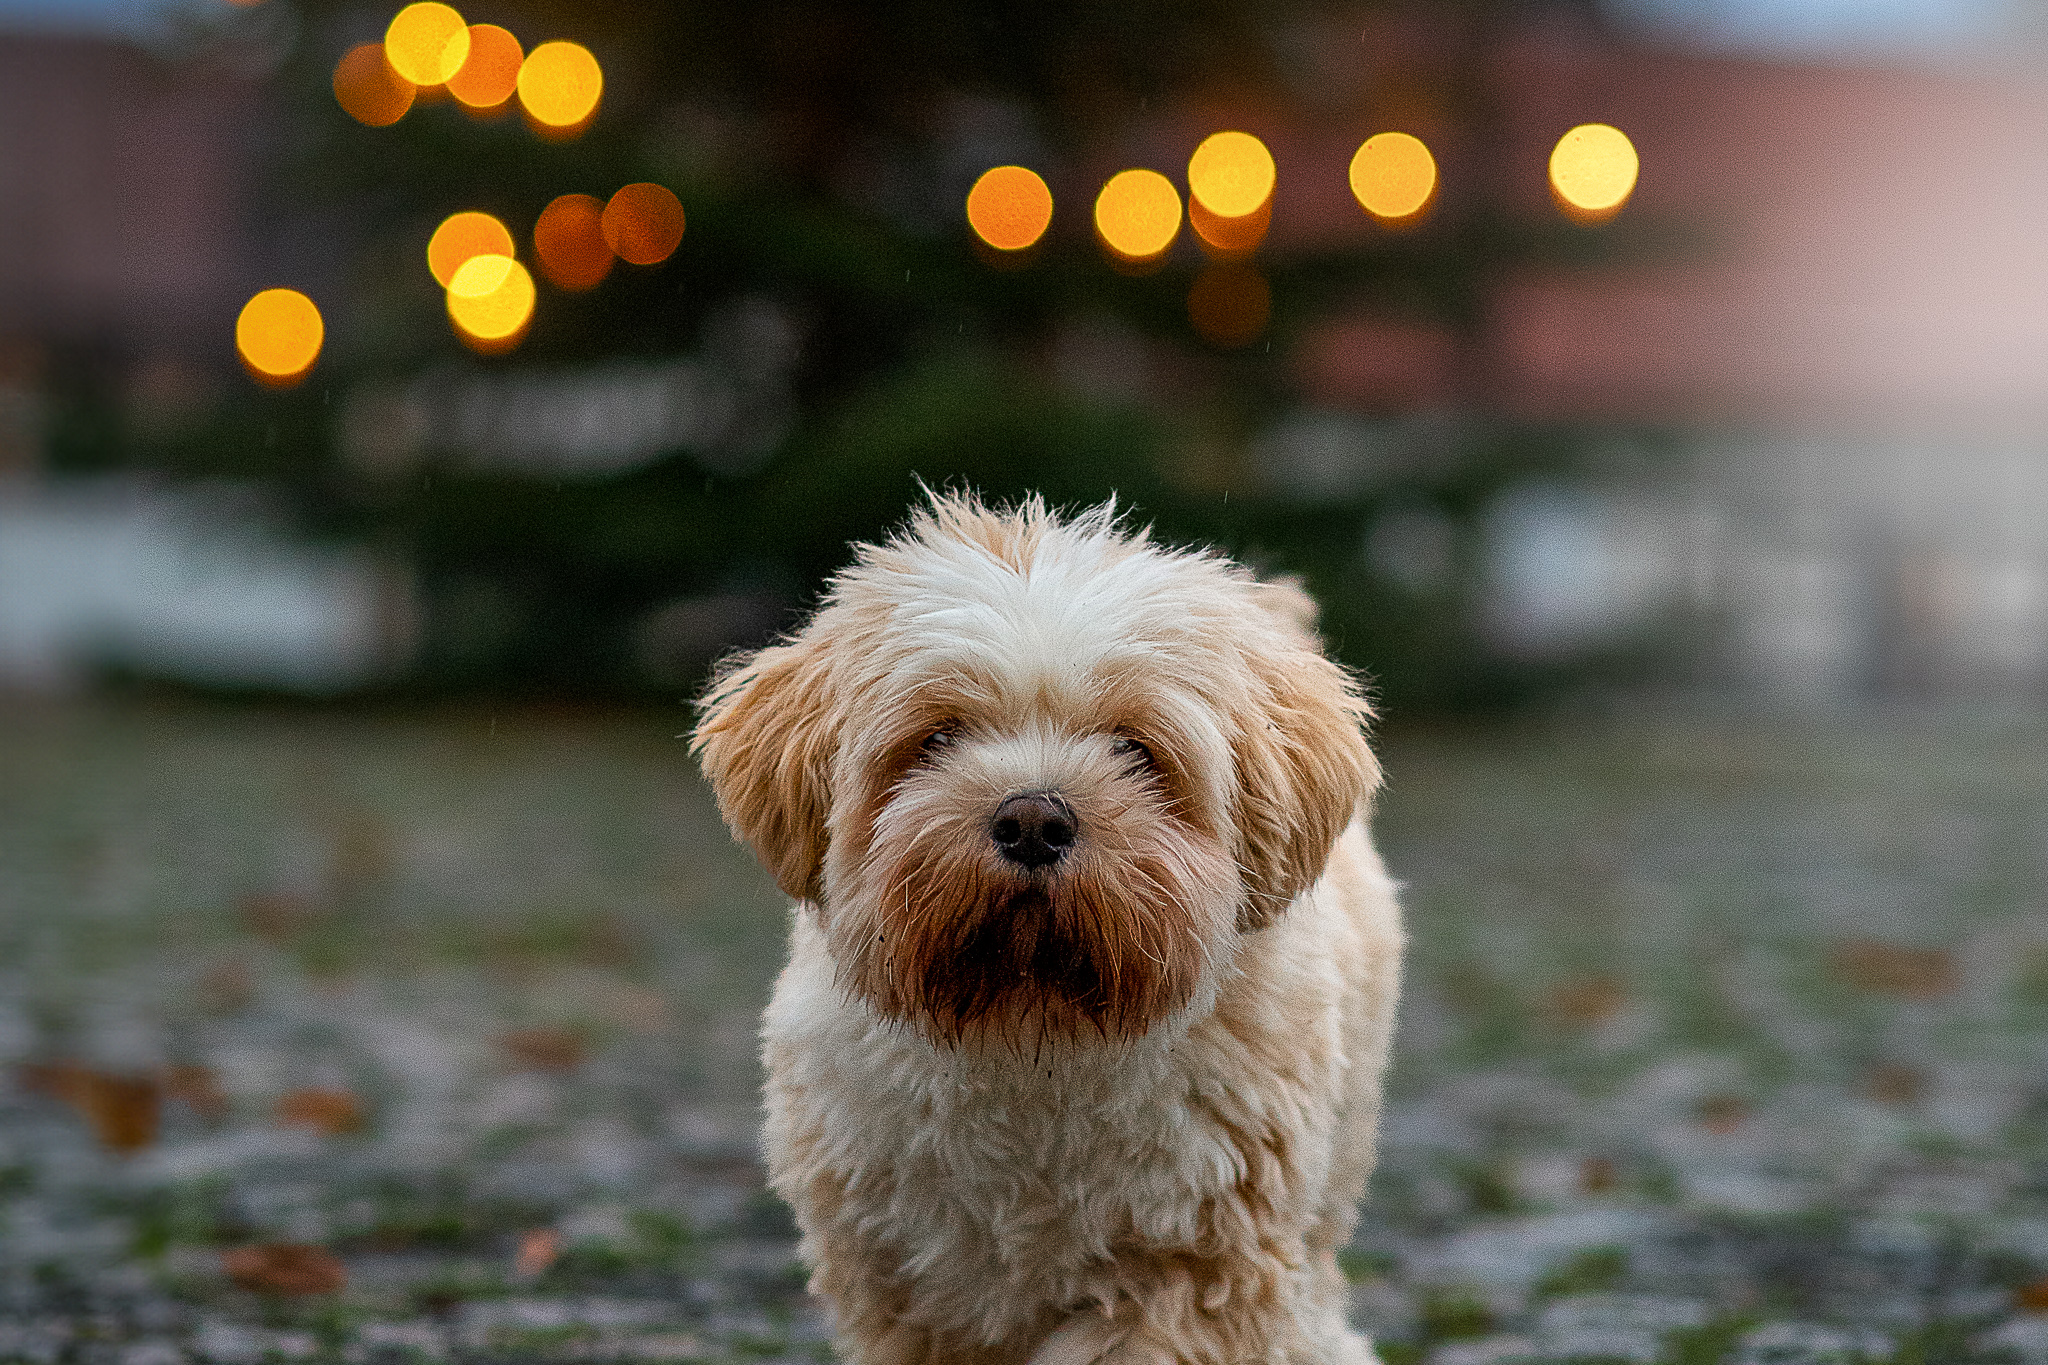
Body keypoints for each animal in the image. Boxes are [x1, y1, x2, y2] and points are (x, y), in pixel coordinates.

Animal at [696, 493, 1400, 1365]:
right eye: (937, 736)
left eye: (1135, 748)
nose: (1033, 818)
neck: (1033, 1039)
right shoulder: (898, 1277)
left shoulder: (1190, 1268)